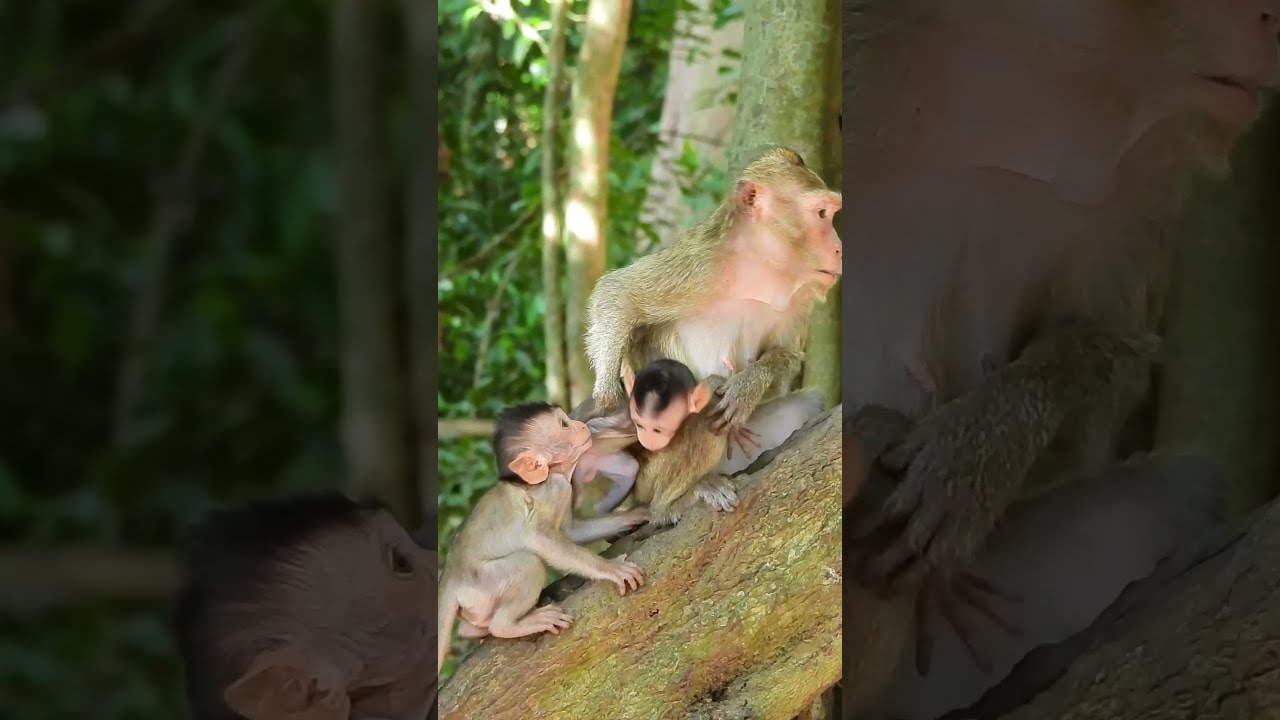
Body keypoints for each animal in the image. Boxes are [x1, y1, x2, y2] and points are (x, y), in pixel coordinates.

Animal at [437, 401, 649, 674]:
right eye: (564, 425)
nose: (581, 425)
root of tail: (450, 576)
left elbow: (570, 531)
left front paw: (633, 516)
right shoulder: (555, 488)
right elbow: (538, 536)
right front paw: (610, 569)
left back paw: (473, 630)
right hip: (480, 584)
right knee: (529, 563)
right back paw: (507, 625)